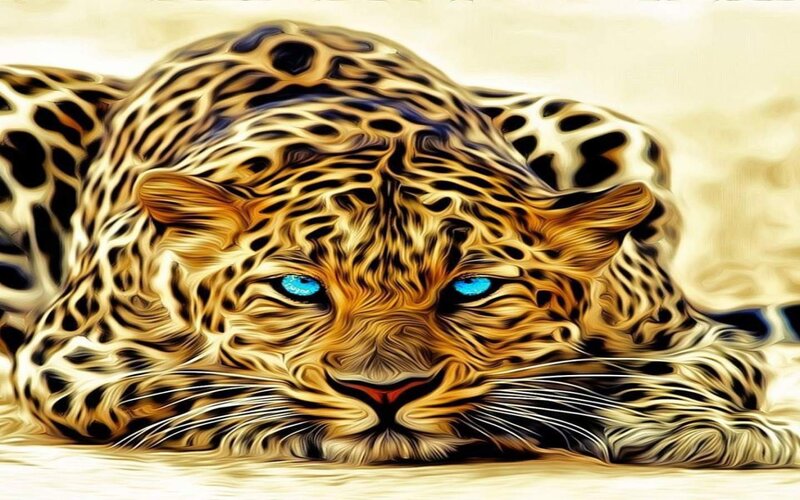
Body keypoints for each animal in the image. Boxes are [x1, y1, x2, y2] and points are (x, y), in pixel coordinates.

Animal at [1, 20, 799, 466]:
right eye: (300, 288)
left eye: (472, 288)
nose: (385, 392)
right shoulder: (69, 356)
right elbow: (188, 386)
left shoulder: (700, 336)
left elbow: (667, 369)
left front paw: (702, 426)